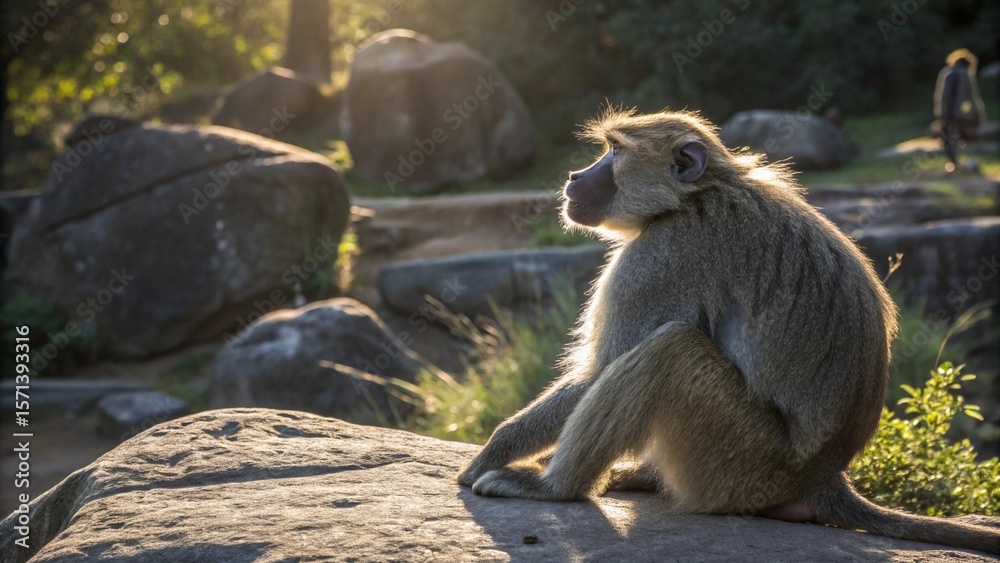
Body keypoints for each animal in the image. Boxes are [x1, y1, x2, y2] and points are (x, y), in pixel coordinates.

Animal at [457, 109, 1000, 555]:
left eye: (614, 151)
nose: (574, 177)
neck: (695, 195)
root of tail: (821, 478)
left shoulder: (662, 255)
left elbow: (597, 373)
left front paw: (493, 454)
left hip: (743, 465)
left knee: (670, 350)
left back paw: (556, 489)